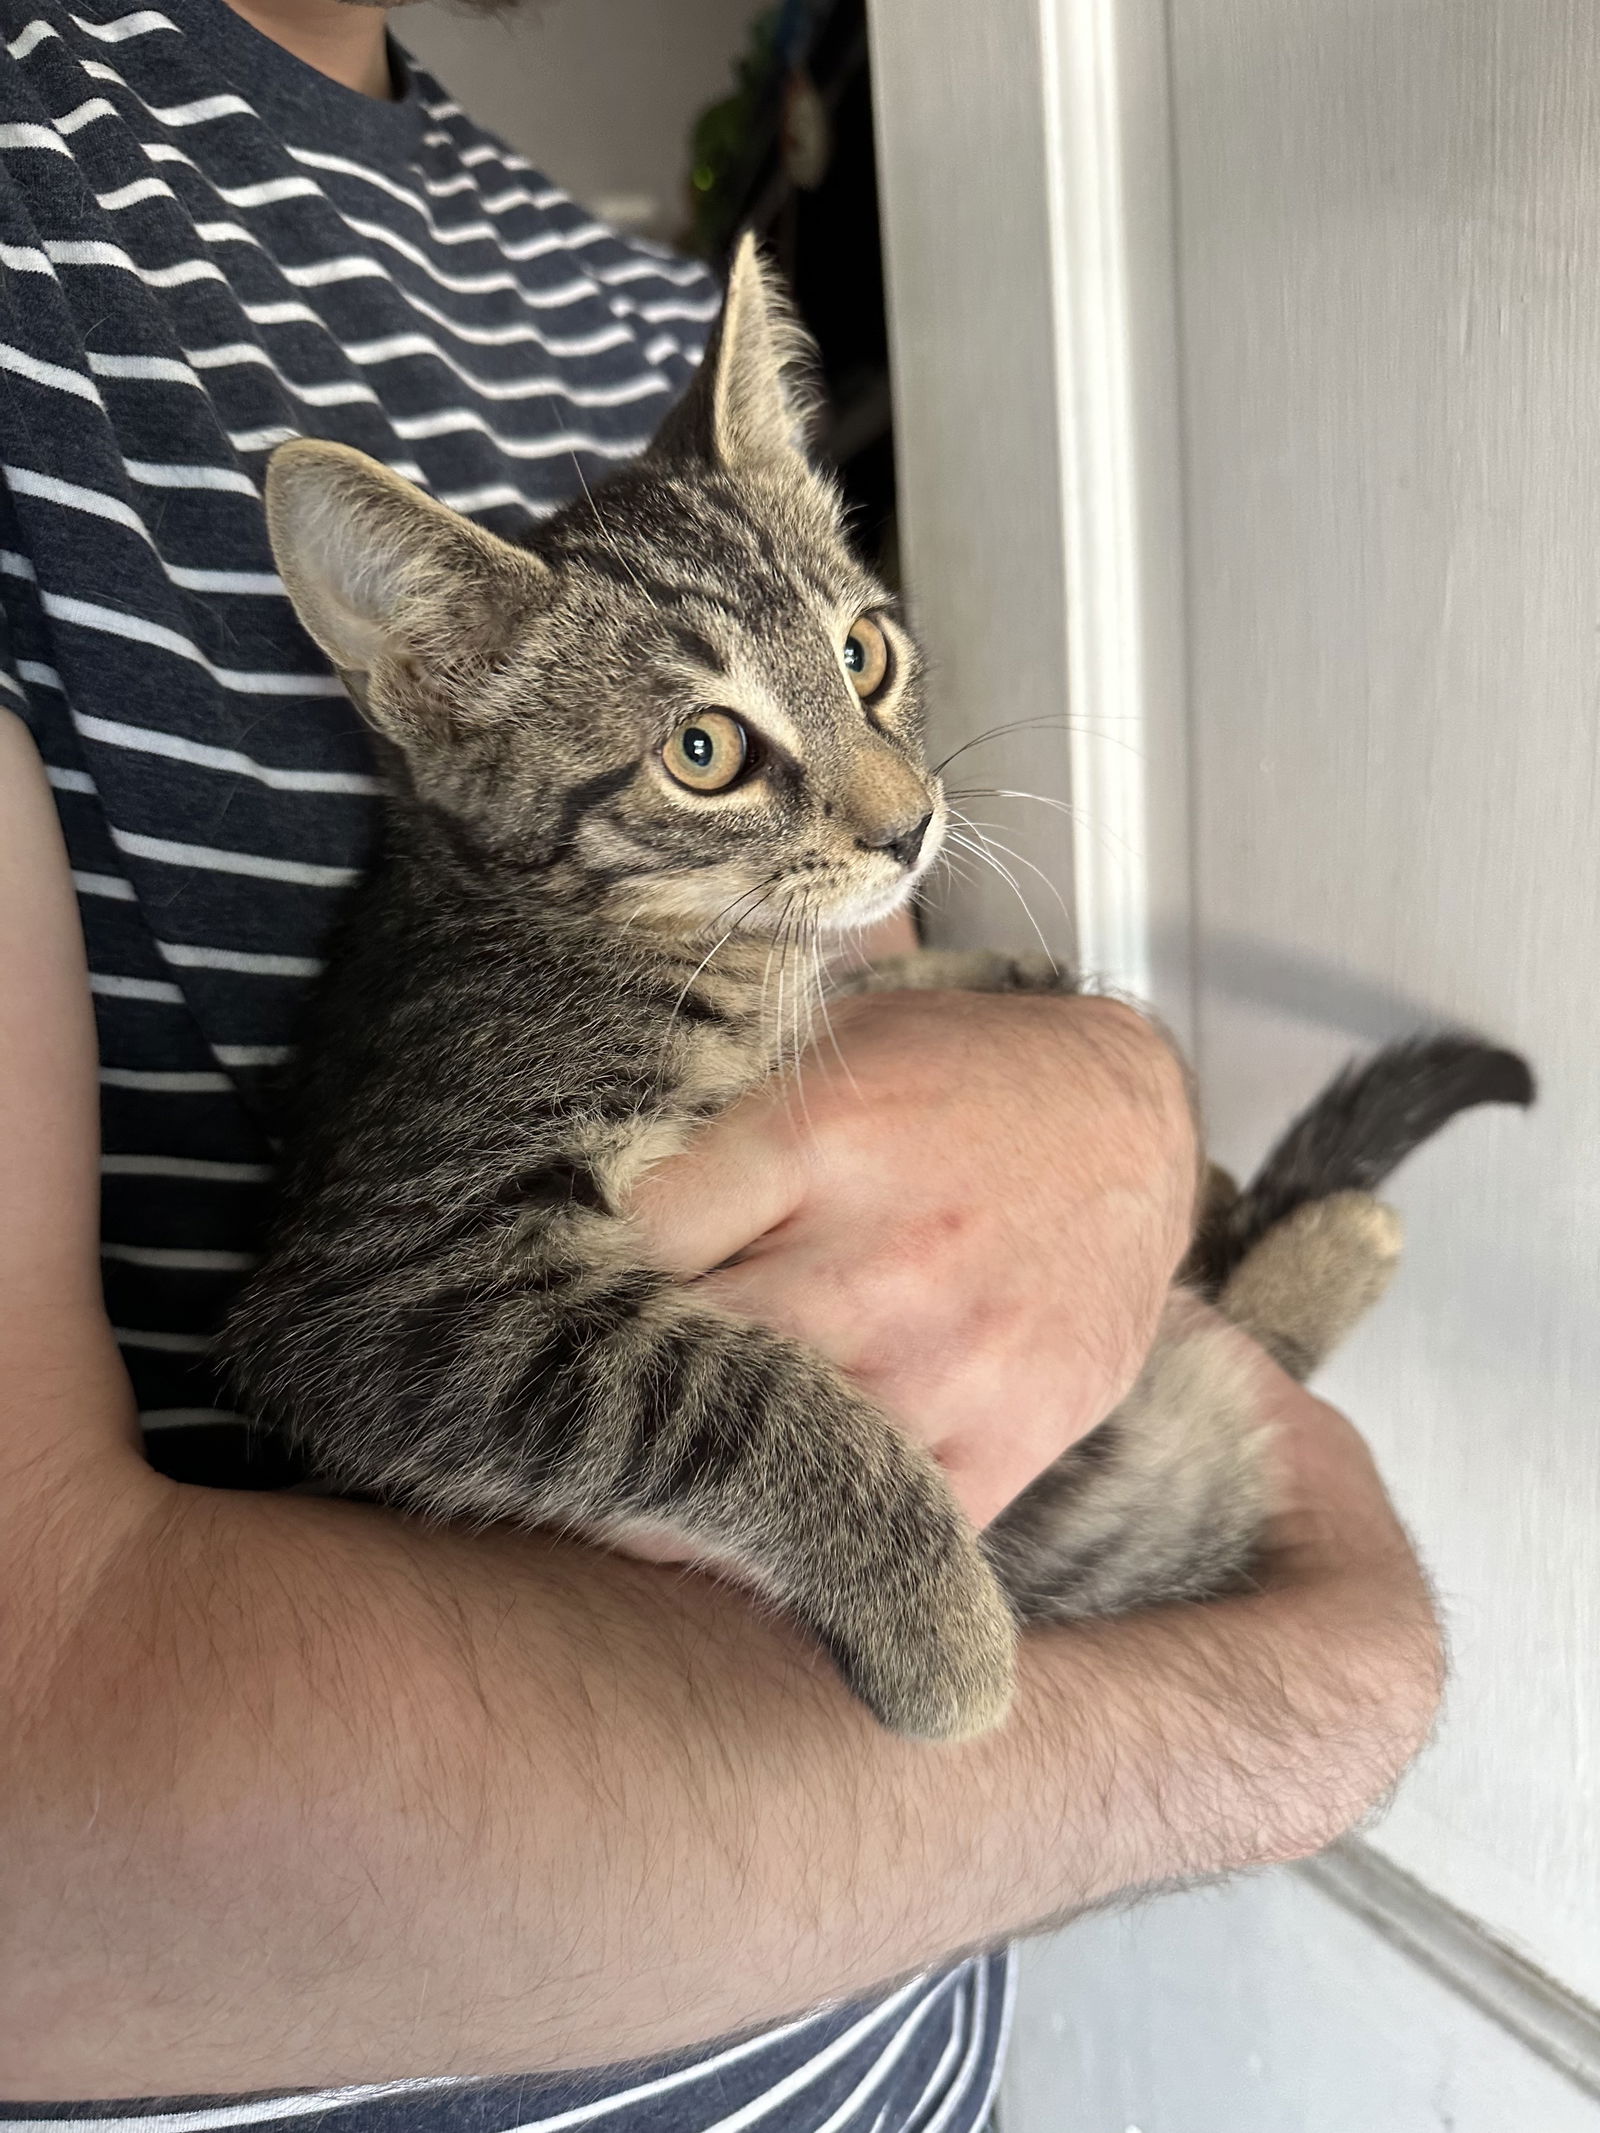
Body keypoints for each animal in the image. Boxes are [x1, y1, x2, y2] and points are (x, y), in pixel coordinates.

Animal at [228, 233, 1544, 1740]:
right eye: (702, 750)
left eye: (863, 654)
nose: (909, 825)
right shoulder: (392, 1288)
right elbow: (717, 1389)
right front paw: (941, 1619)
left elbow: (846, 989)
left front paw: (998, 974)